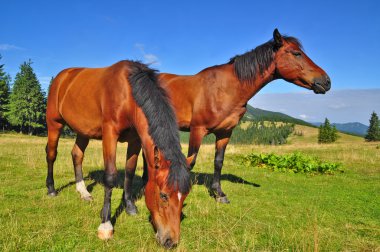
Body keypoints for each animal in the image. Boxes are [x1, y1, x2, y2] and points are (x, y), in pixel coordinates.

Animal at [45, 59, 193, 248]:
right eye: (163, 195)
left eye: (184, 196)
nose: (171, 241)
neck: (128, 93)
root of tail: (62, 76)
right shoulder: (109, 133)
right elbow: (110, 176)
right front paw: (106, 225)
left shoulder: (135, 140)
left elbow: (129, 172)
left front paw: (129, 206)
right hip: (54, 123)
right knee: (51, 154)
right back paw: (51, 189)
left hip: (83, 131)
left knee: (77, 154)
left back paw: (83, 191)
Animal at [126, 28, 332, 210]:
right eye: (297, 53)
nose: (326, 81)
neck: (225, 88)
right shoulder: (197, 130)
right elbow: (190, 162)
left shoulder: (225, 133)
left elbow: (219, 161)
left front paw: (219, 194)